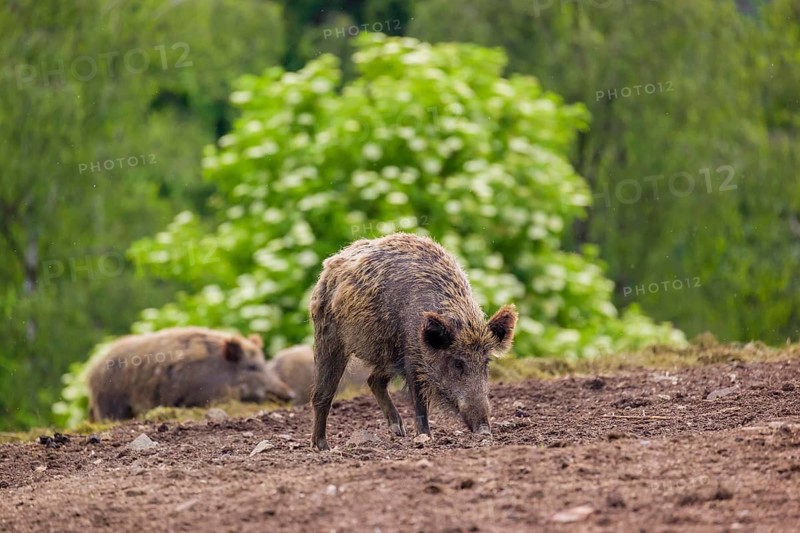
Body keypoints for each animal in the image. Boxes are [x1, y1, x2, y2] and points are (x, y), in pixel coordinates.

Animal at [309, 233, 518, 450]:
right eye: (457, 363)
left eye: (486, 362)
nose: (484, 430)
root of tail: (330, 264)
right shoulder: (412, 354)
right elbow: (419, 399)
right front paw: (425, 438)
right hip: (328, 337)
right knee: (322, 395)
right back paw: (322, 447)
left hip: (388, 354)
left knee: (374, 380)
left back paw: (398, 431)